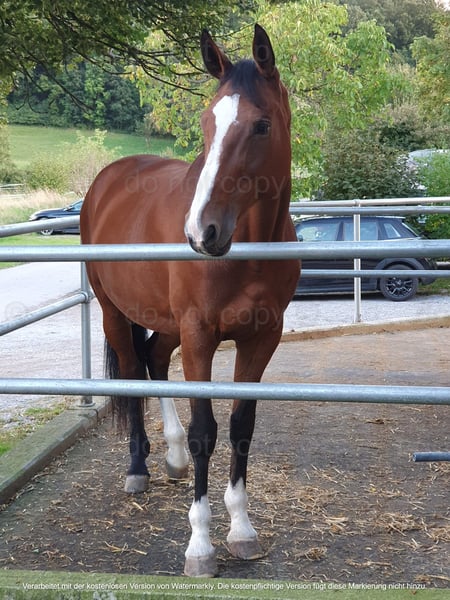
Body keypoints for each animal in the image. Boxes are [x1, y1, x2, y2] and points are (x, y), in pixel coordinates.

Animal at [80, 24, 300, 578]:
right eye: (207, 122)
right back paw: (138, 467)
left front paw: (242, 530)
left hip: (167, 323)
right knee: (133, 371)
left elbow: (242, 425)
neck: (249, 249)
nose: (203, 233)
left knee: (155, 360)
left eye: (261, 125)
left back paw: (174, 458)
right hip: (114, 312)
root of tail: (107, 180)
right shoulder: (201, 335)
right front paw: (200, 545)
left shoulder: (261, 338)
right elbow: (207, 431)